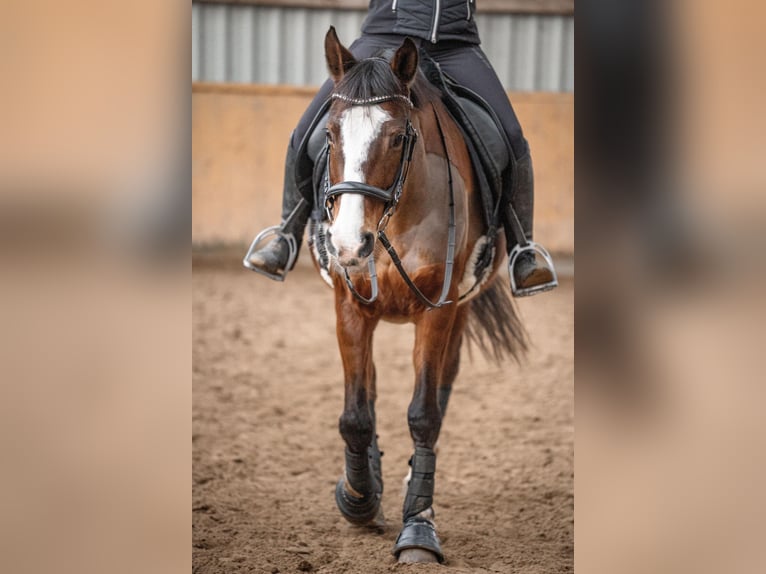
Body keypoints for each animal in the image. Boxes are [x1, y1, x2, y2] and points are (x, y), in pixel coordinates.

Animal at [308, 27, 528, 564]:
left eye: (396, 137)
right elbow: (356, 415)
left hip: (460, 311)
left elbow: (425, 414)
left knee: (441, 388)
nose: (348, 243)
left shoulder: (439, 310)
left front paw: (419, 526)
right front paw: (359, 498)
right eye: (331, 135)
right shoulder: (350, 306)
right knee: (369, 387)